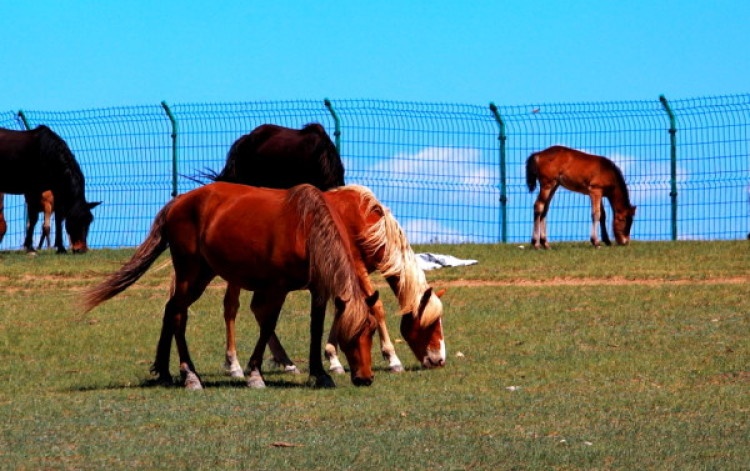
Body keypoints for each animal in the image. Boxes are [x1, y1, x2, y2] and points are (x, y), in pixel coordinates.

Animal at [0, 123, 100, 253]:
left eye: (89, 221)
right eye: (75, 219)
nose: (82, 249)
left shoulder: (56, 191)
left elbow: (58, 218)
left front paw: (61, 248)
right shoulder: (33, 190)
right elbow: (33, 219)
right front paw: (30, 247)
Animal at [84, 183, 378, 390]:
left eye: (372, 330)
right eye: (349, 334)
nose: (365, 377)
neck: (305, 228)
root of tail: (179, 201)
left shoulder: (318, 288)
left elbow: (315, 327)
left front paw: (320, 373)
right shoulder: (277, 287)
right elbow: (268, 324)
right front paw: (254, 374)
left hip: (202, 274)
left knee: (171, 311)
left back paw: (166, 372)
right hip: (190, 274)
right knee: (178, 314)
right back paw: (190, 375)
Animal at [222, 184, 446, 380]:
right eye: (430, 324)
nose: (440, 360)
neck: (365, 221)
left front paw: (333, 357)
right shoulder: (356, 267)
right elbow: (377, 307)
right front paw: (392, 358)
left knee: (258, 309)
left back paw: (286, 363)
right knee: (232, 308)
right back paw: (234, 364)